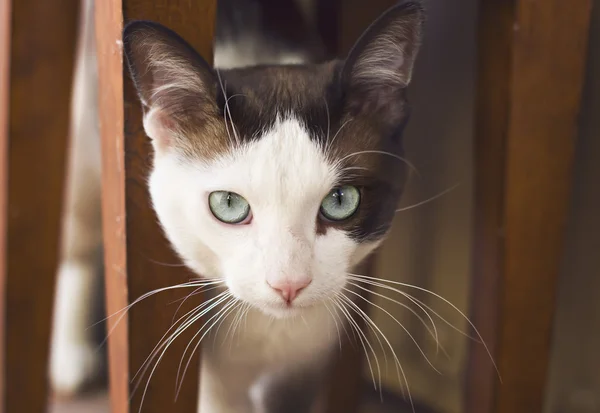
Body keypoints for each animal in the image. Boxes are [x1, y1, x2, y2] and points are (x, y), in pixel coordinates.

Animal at [52, 0, 426, 408]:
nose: (289, 285)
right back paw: (69, 355)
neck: (270, 331)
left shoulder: (307, 361)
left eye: (341, 200)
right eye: (228, 204)